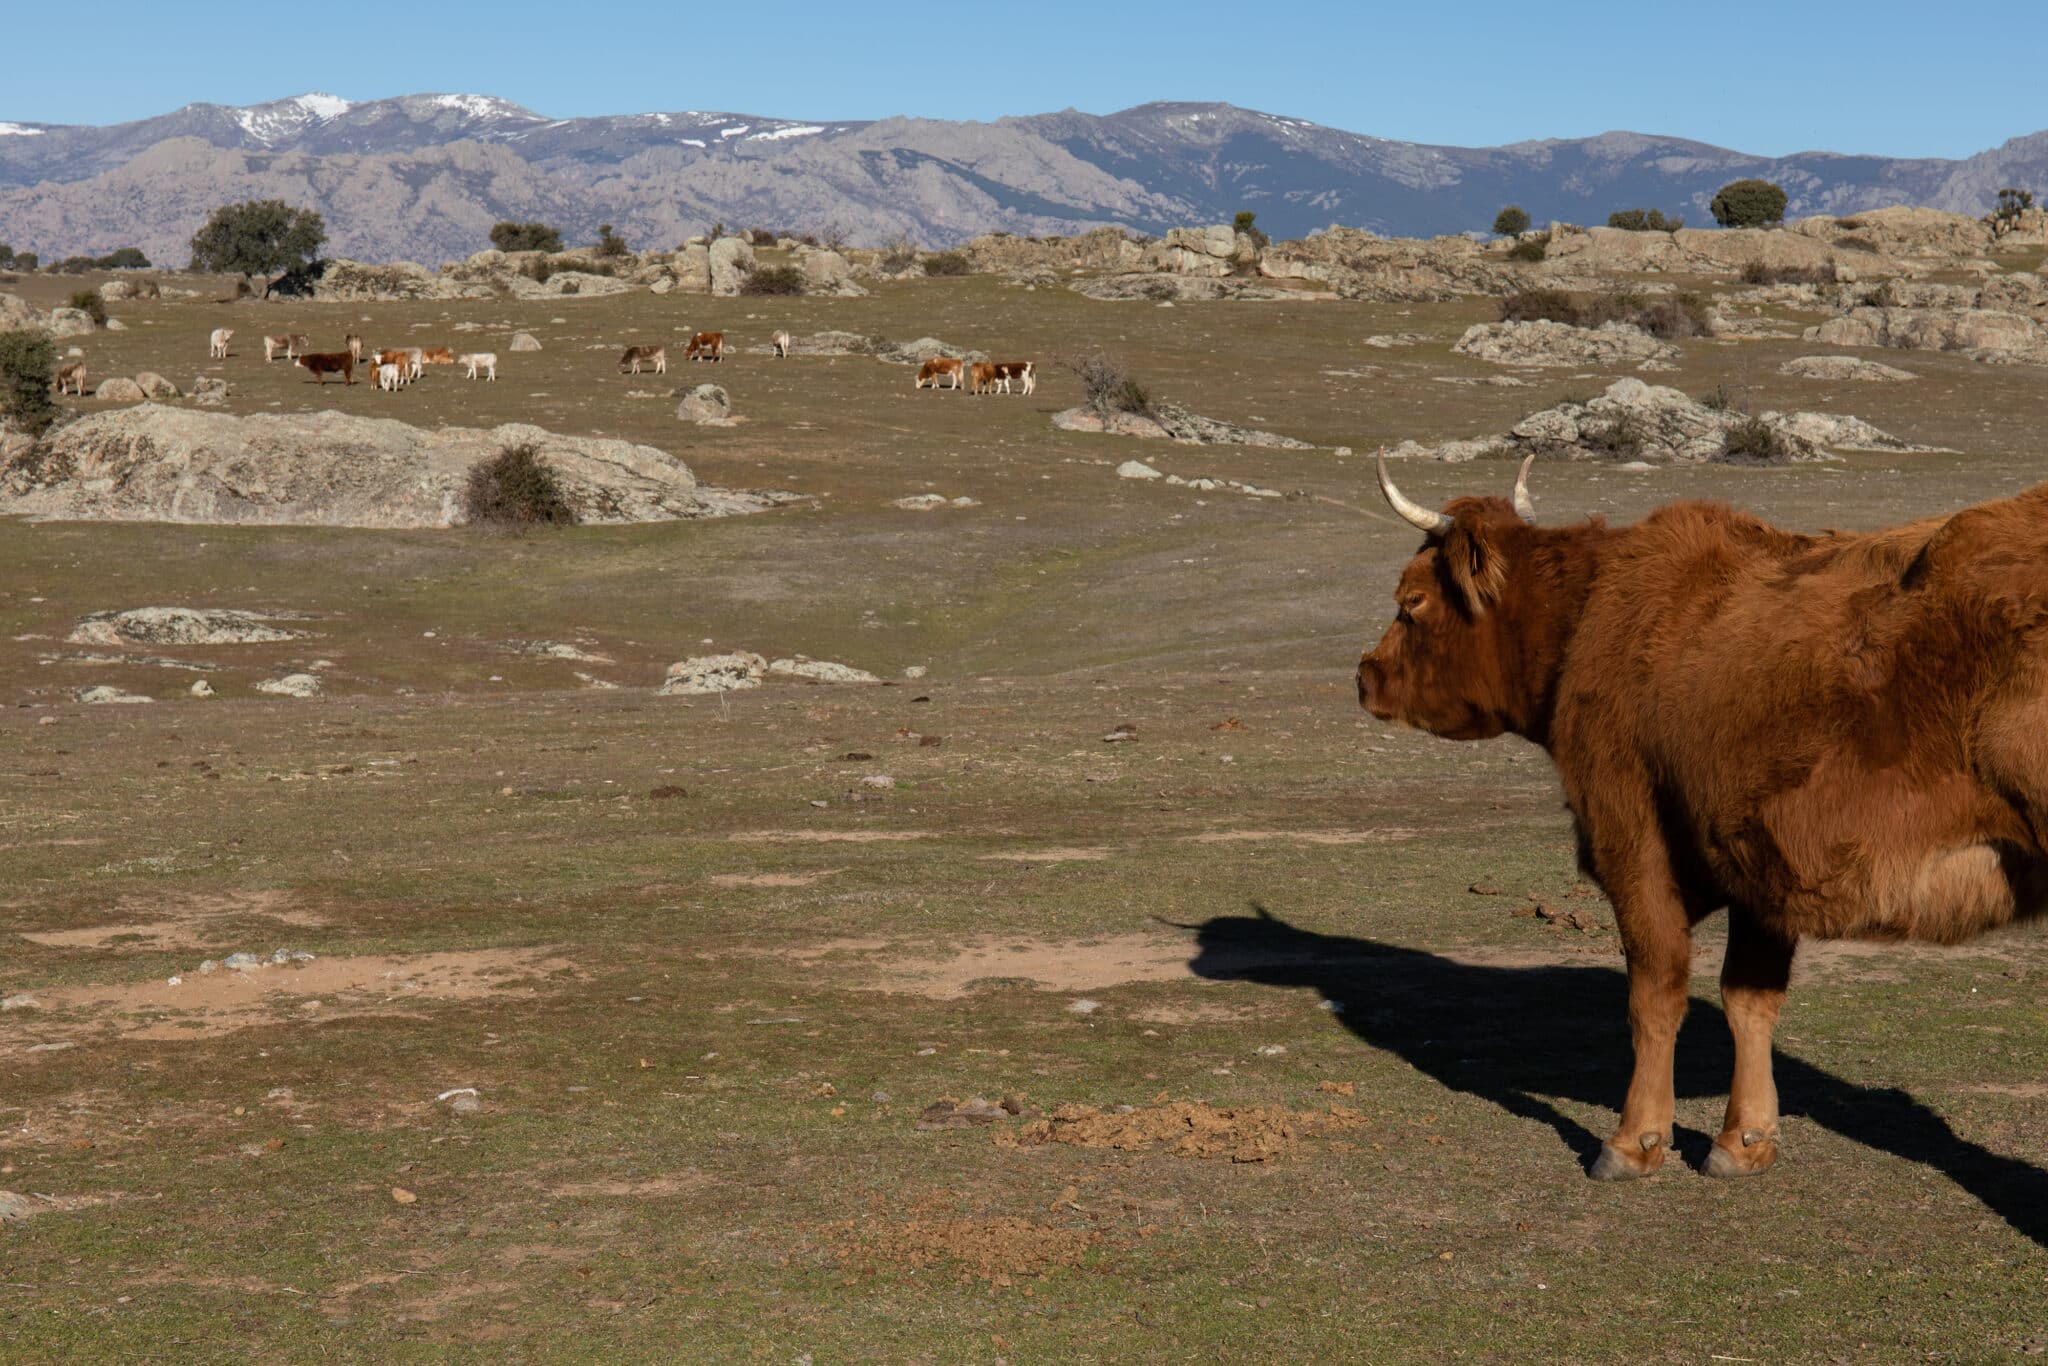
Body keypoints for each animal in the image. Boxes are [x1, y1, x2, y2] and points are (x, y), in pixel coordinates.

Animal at [1359, 458, 2048, 1187]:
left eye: (1411, 602)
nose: (1365, 675)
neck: (1590, 619)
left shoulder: (1632, 837)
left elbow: (1655, 993)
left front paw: (1633, 1140)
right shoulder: (1758, 862)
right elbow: (1749, 998)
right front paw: (1745, 1139)